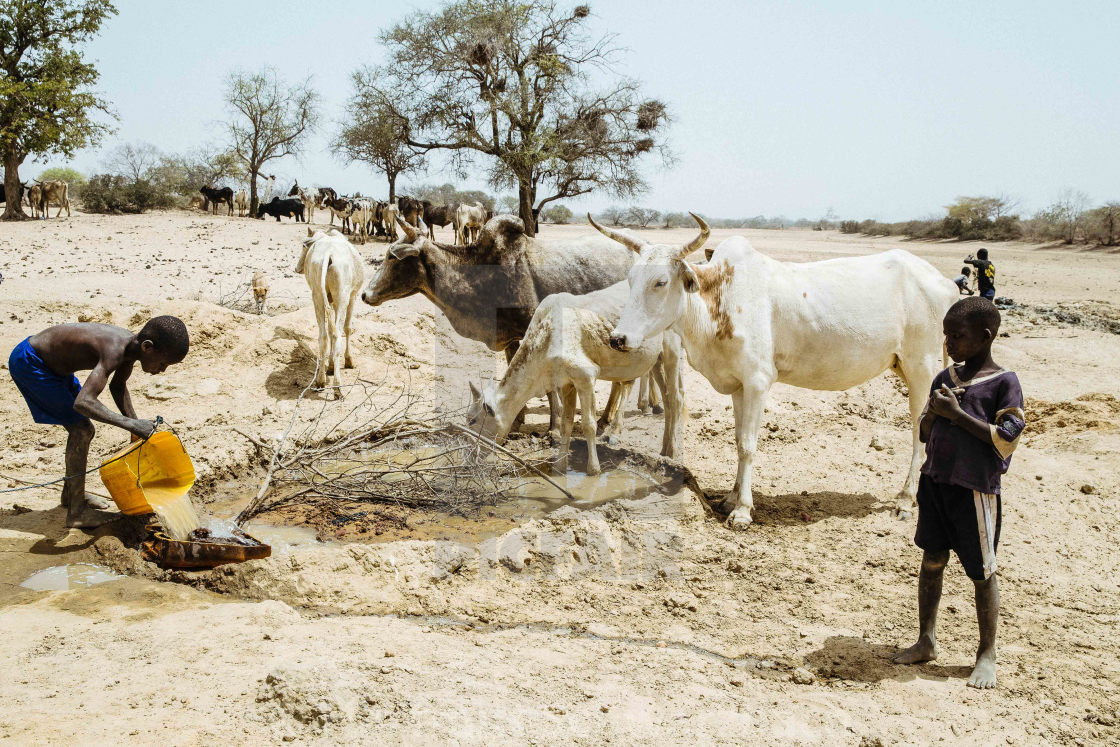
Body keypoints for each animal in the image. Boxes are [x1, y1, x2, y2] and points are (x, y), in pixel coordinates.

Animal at [293, 228, 362, 396]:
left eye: (304, 246)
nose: (297, 268)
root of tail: (328, 254)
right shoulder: (353, 296)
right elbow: (348, 328)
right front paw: (349, 361)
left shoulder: (329, 300)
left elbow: (330, 331)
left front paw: (330, 366)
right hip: (342, 296)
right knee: (337, 334)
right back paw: (337, 387)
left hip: (317, 294)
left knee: (324, 335)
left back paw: (320, 380)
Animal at [465, 279, 680, 472]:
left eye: (472, 421)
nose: (469, 456)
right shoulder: (566, 383)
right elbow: (566, 424)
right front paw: (560, 466)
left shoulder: (586, 376)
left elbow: (588, 424)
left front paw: (593, 469)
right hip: (654, 359)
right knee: (665, 399)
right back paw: (664, 449)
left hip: (672, 349)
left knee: (675, 399)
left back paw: (671, 451)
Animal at [600, 212, 958, 528]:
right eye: (631, 280)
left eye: (660, 282)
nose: (618, 338)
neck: (721, 298)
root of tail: (946, 284)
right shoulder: (739, 385)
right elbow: (738, 440)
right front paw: (730, 499)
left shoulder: (758, 382)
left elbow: (748, 445)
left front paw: (743, 511)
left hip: (922, 368)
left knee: (918, 430)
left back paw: (905, 500)